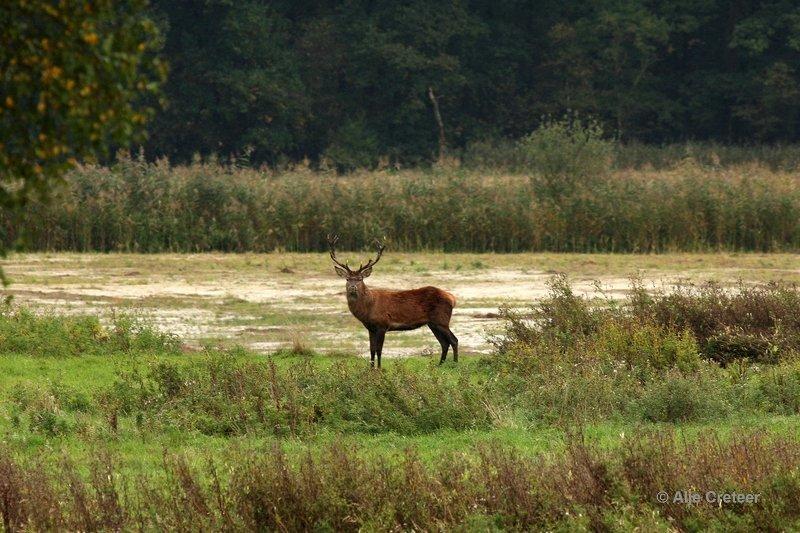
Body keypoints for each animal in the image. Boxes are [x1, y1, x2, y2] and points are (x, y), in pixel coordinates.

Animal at [328, 235, 460, 368]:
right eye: (347, 279)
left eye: (360, 279)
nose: (352, 287)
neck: (368, 309)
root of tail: (452, 298)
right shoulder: (370, 328)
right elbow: (371, 349)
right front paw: (370, 368)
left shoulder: (382, 325)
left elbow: (379, 350)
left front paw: (379, 368)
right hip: (433, 323)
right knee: (444, 343)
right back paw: (440, 365)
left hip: (441, 320)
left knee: (454, 340)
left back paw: (455, 364)